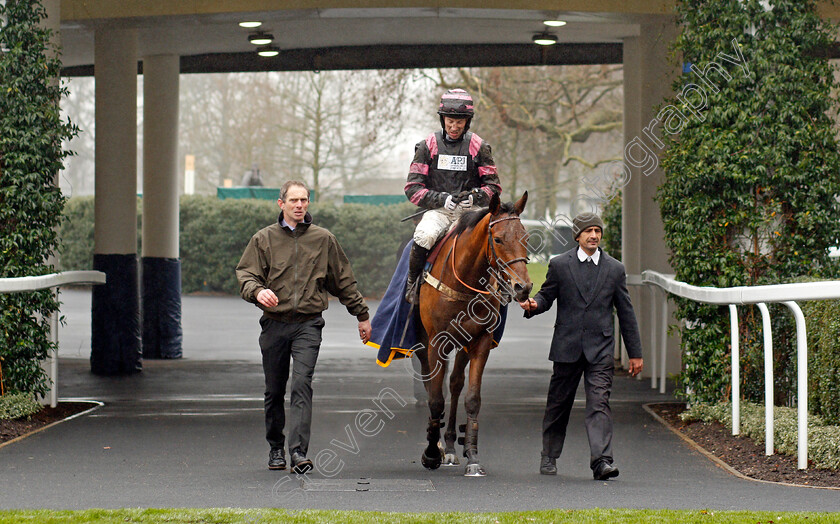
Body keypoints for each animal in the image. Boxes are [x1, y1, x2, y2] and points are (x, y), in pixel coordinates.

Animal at [414, 191, 532, 474]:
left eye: (525, 237)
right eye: (498, 239)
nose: (523, 287)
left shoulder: (480, 341)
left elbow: (472, 398)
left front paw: (472, 454)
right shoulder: (436, 342)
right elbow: (435, 398)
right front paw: (431, 453)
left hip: (462, 344)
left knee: (455, 383)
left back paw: (450, 446)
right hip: (426, 345)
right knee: (432, 385)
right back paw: (438, 443)